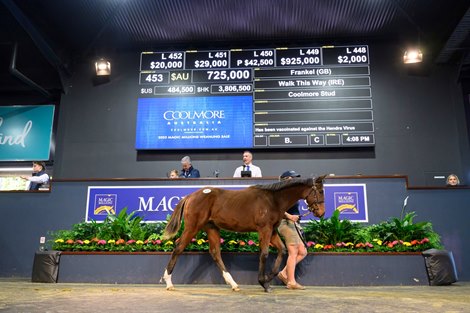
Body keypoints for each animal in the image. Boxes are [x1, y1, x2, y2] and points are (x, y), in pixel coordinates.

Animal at [162, 174, 326, 292]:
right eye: (320, 191)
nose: (321, 213)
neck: (273, 200)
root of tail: (189, 196)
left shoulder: (272, 231)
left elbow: (282, 251)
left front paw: (269, 278)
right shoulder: (264, 230)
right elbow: (264, 254)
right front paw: (264, 283)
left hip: (211, 228)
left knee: (215, 253)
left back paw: (234, 284)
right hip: (193, 227)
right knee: (178, 247)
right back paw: (169, 283)